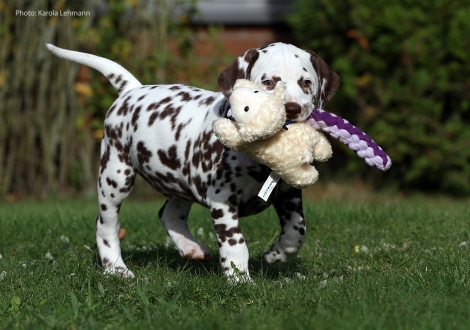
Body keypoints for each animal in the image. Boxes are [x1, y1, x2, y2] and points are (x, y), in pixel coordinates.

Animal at [46, 42, 338, 282]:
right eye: (268, 82)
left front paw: (277, 255)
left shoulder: (289, 194)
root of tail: (132, 90)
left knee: (168, 214)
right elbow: (236, 244)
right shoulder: (223, 201)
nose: (292, 109)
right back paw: (116, 268)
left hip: (180, 181)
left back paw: (191, 248)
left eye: (306, 83)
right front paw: (240, 280)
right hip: (115, 177)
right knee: (106, 224)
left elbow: (296, 232)